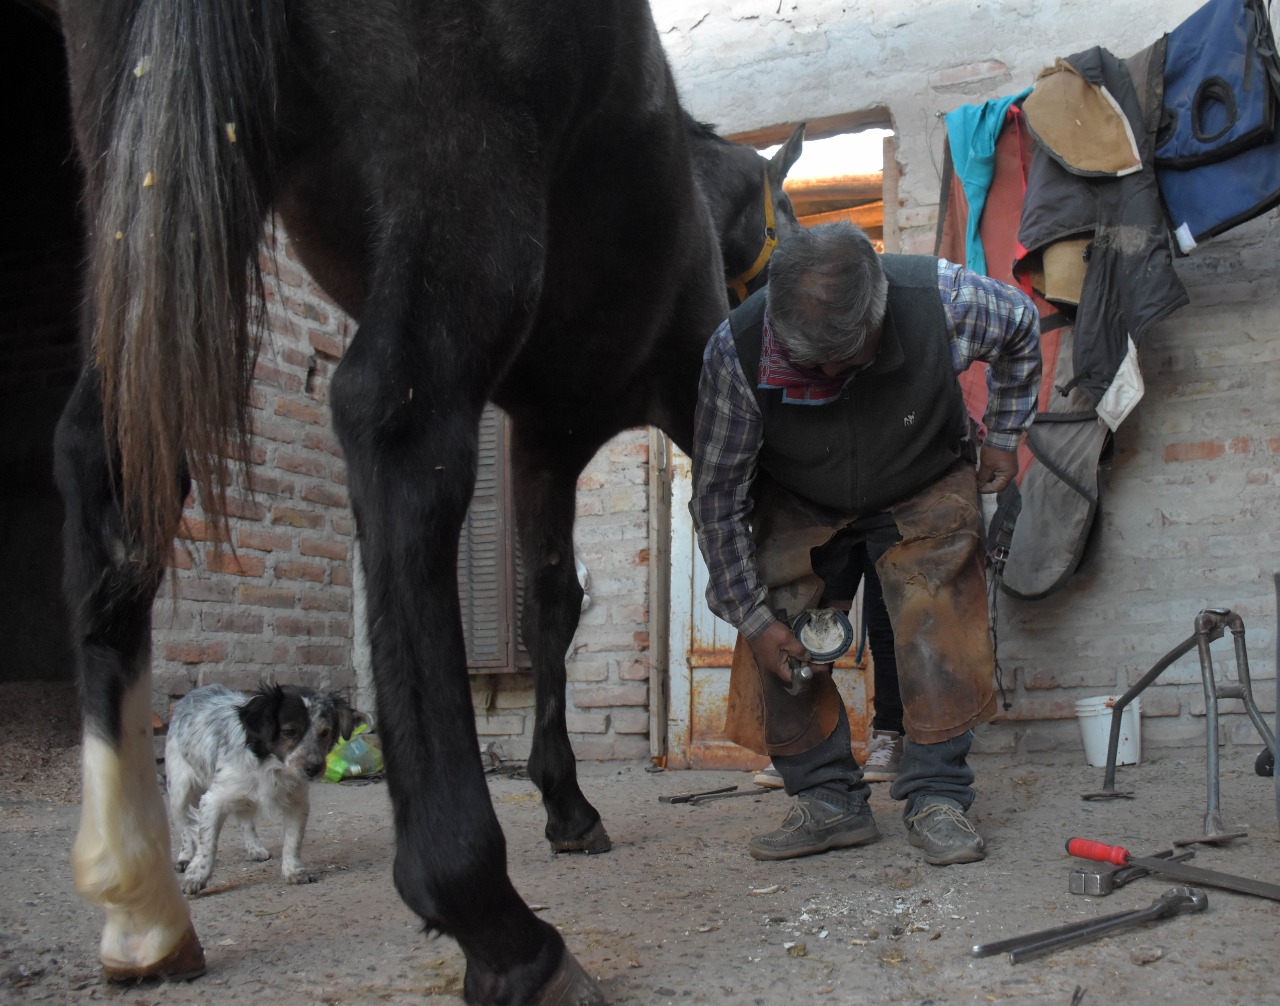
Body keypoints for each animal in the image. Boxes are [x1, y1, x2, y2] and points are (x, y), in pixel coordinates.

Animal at [163, 680, 360, 895]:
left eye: (325, 733)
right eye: (289, 731)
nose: (314, 768)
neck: (270, 767)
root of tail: (198, 690)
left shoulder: (297, 802)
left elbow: (293, 841)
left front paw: (294, 870)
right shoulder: (213, 800)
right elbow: (207, 843)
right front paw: (196, 876)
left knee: (245, 821)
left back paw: (254, 848)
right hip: (179, 793)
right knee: (184, 826)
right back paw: (185, 857)